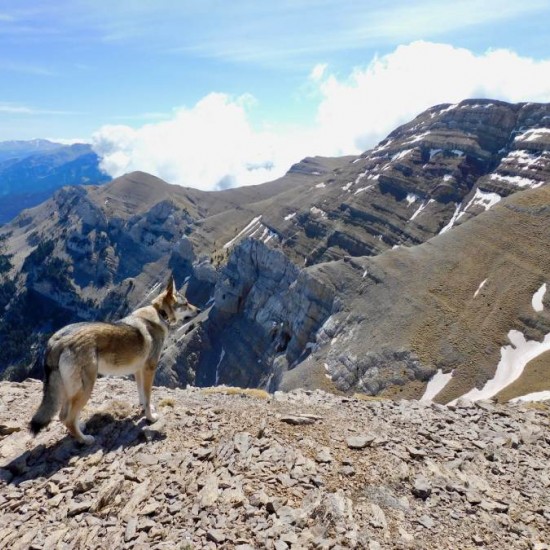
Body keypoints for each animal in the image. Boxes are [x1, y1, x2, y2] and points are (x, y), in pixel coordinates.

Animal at [29, 274, 199, 446]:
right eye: (186, 303)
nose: (199, 310)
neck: (159, 313)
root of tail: (57, 340)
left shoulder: (138, 370)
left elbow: (142, 395)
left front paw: (144, 408)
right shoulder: (149, 369)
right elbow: (148, 395)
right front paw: (150, 418)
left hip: (69, 388)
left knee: (63, 414)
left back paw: (81, 427)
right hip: (86, 386)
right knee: (67, 418)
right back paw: (85, 439)